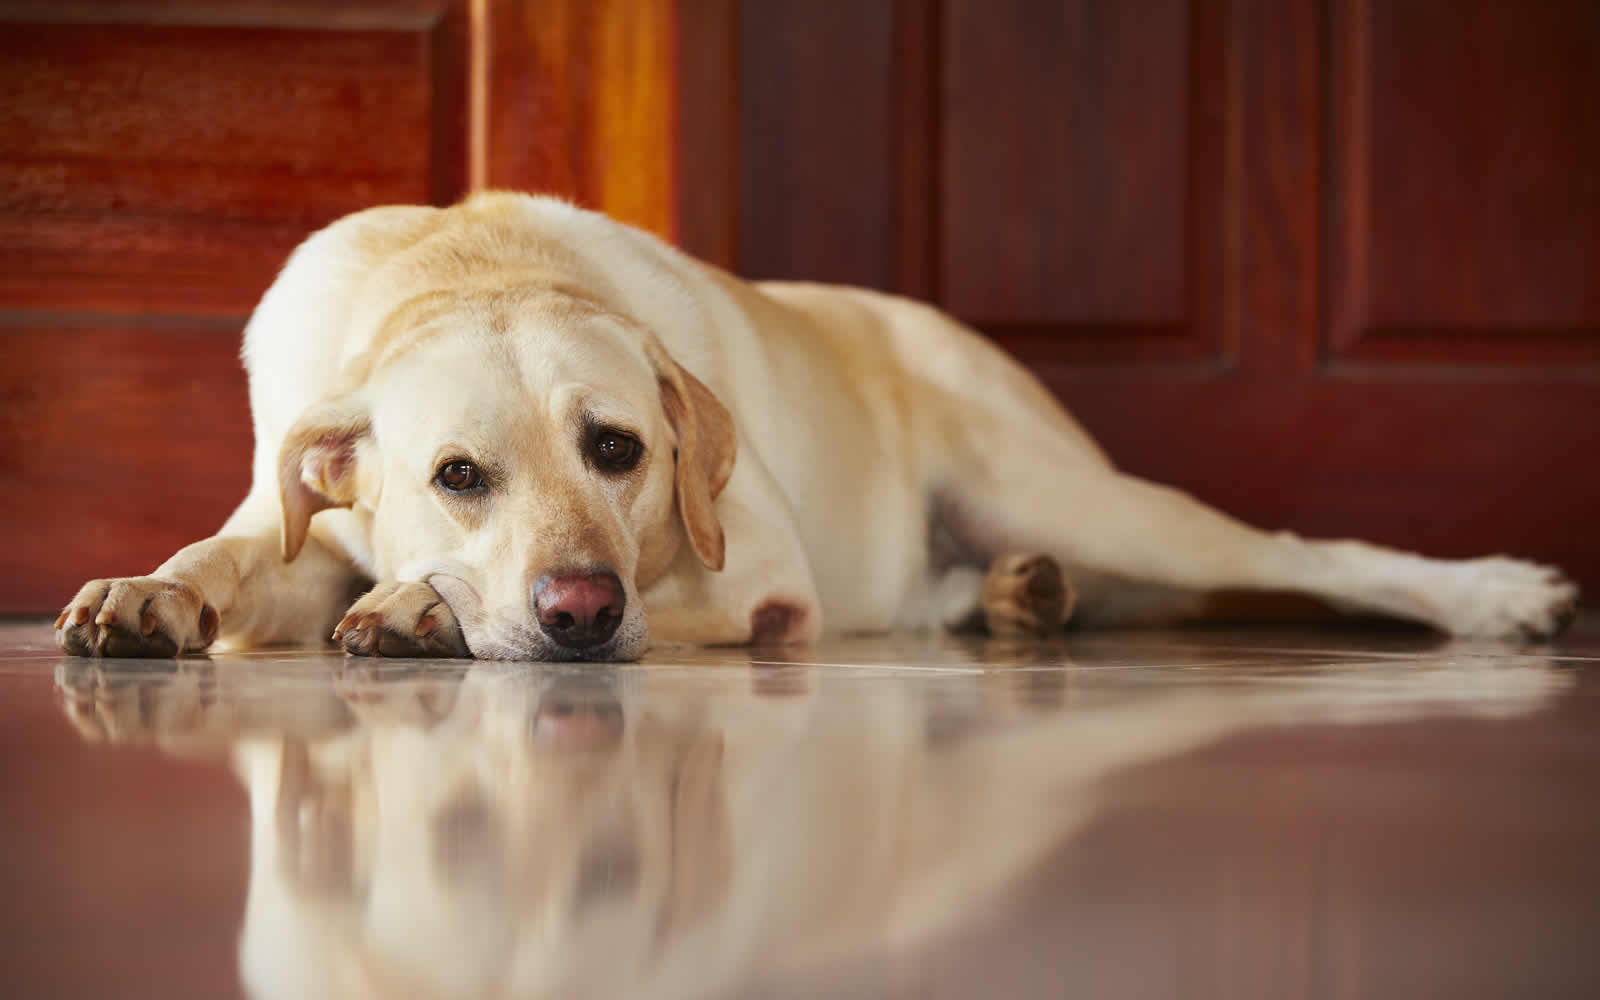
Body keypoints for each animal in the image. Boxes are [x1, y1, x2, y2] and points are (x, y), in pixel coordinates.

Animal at [56, 191, 1580, 659]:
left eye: (621, 449)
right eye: (457, 474)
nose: (577, 609)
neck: (466, 266)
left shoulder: (761, 584)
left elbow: (683, 600)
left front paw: (422, 612)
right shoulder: (297, 523)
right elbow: (232, 555)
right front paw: (149, 591)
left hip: (1073, 492)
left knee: (1308, 554)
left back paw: (1496, 595)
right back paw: (1019, 599)